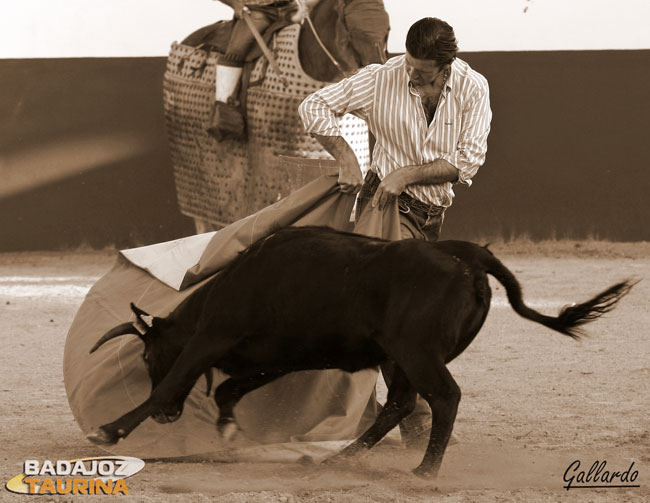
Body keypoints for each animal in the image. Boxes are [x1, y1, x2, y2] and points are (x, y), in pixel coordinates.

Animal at [86, 226, 632, 478]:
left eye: (148, 359)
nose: (170, 421)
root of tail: (466, 254)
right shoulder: (278, 356)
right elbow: (229, 389)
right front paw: (227, 429)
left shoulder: (213, 337)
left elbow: (176, 384)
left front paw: (108, 431)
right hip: (398, 357)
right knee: (402, 403)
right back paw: (341, 458)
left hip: (416, 353)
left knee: (444, 398)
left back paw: (424, 471)